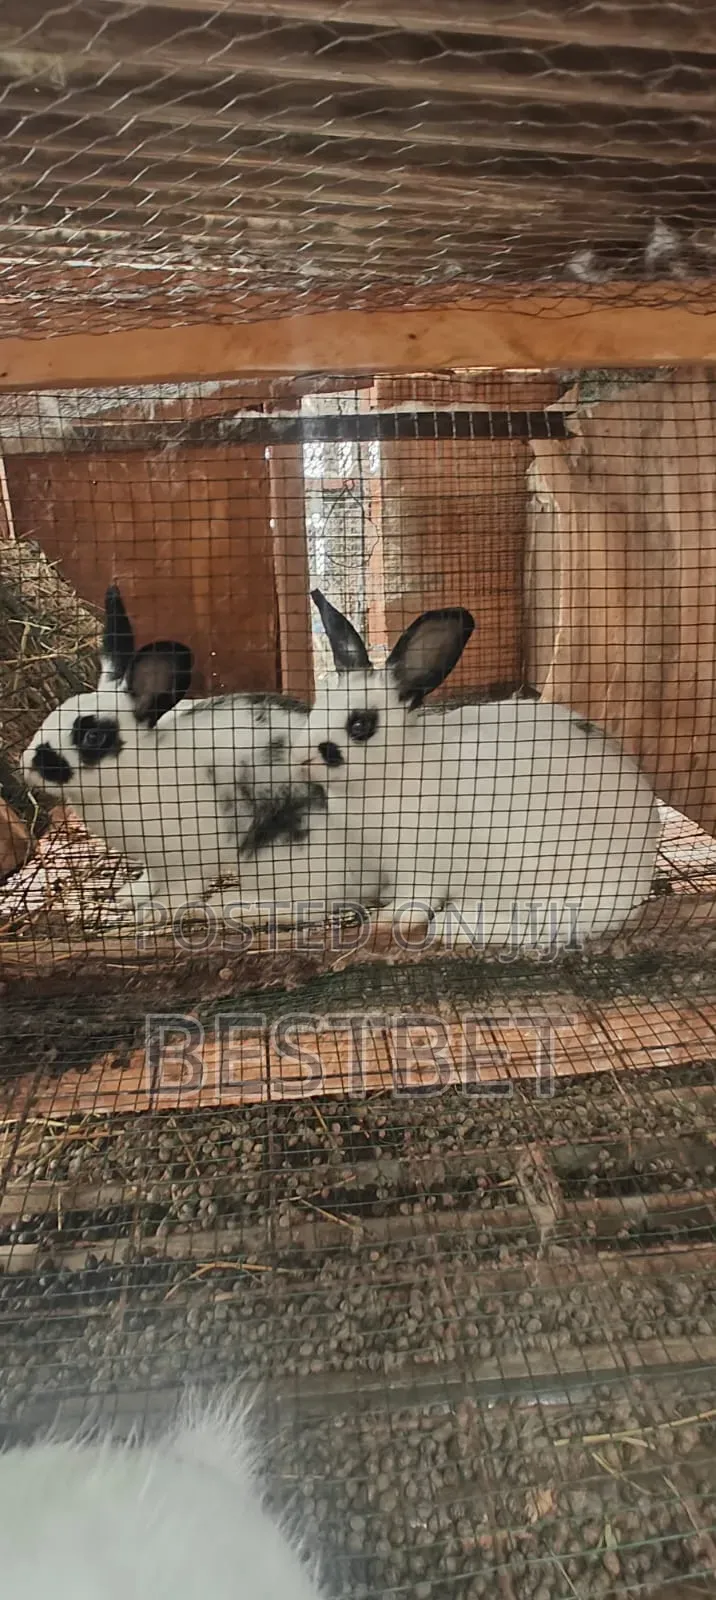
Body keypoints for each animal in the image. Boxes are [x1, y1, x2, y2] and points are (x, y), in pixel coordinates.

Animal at [21, 585, 379, 925]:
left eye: (93, 736)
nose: (27, 765)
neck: (139, 770)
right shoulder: (154, 861)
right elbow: (151, 878)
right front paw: (130, 895)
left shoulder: (189, 857)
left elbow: (181, 889)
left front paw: (152, 912)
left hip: (282, 855)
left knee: (307, 906)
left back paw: (229, 905)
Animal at [292, 590, 662, 952]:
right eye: (320, 703)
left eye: (360, 724)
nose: (300, 758)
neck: (393, 768)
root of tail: (636, 879)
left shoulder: (421, 862)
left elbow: (416, 901)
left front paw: (387, 918)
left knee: (543, 923)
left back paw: (453, 926)